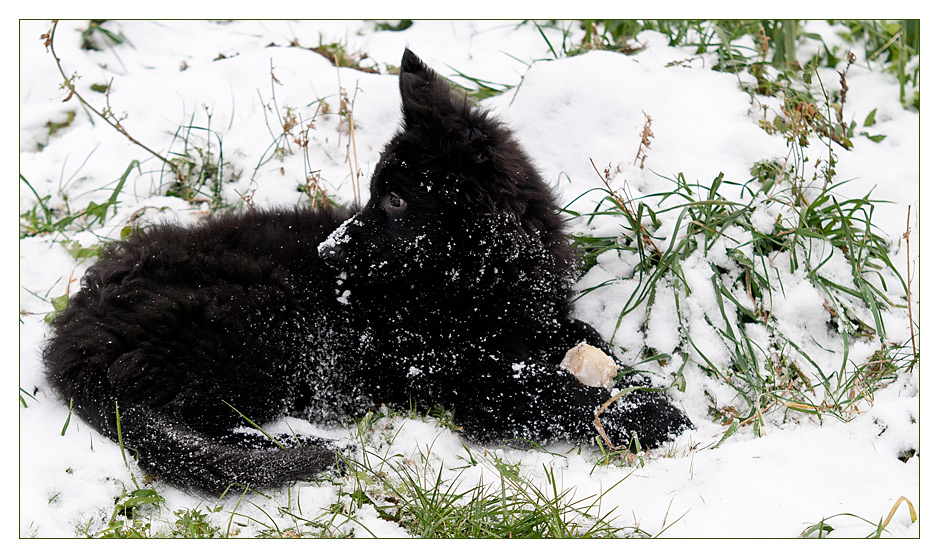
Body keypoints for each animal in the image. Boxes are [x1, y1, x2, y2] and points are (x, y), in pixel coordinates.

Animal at [42, 48, 692, 494]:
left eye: (397, 201)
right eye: (378, 193)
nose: (325, 255)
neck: (473, 287)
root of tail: (71, 334)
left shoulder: (537, 325)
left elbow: (587, 346)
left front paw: (633, 385)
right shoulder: (464, 381)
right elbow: (551, 390)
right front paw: (650, 416)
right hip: (266, 320)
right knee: (187, 415)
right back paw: (296, 443)